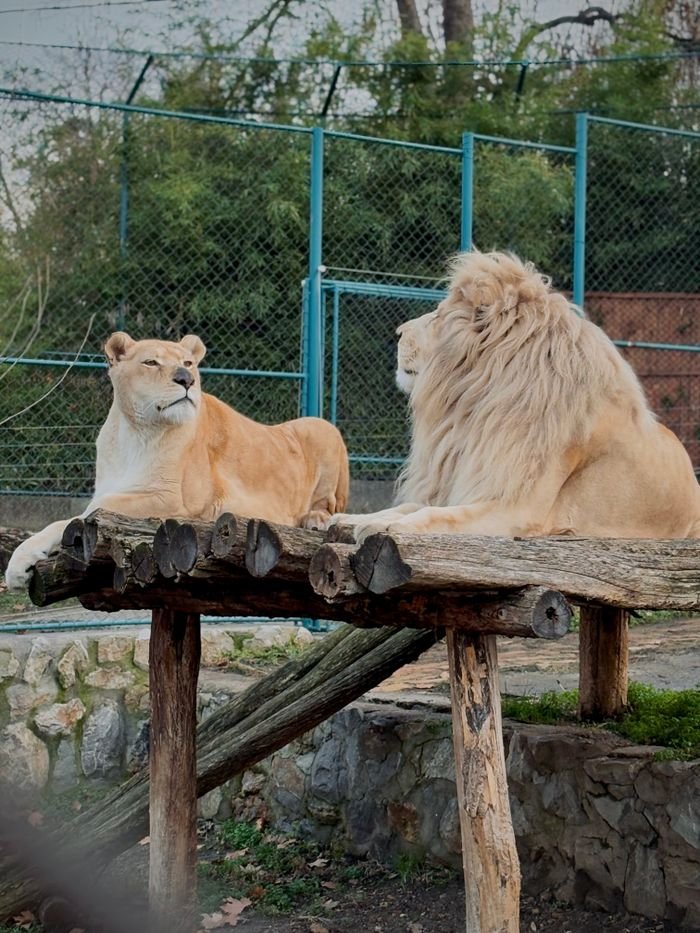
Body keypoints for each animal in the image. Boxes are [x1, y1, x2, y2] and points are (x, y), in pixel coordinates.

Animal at [6, 332, 349, 589]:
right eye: (151, 362)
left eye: (187, 363)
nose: (186, 379)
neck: (136, 432)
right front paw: (22, 565)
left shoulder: (174, 500)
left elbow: (85, 513)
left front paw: (17, 562)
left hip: (322, 428)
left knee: (329, 505)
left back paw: (315, 519)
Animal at [331, 250, 700, 541]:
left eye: (437, 315)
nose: (397, 333)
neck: (470, 407)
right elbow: (405, 506)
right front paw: (348, 519)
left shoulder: (520, 508)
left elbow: (436, 514)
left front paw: (388, 528)